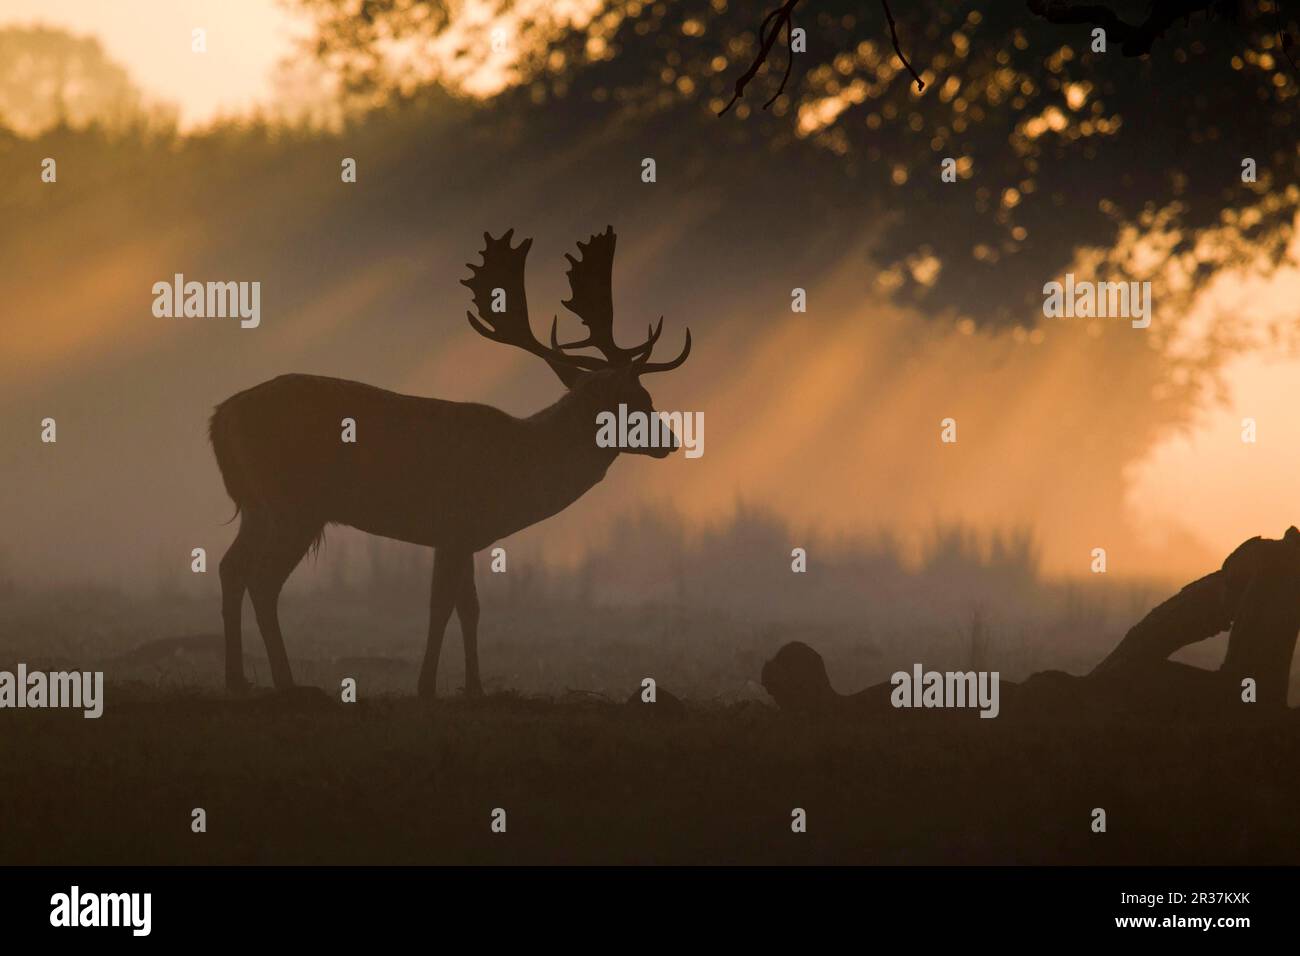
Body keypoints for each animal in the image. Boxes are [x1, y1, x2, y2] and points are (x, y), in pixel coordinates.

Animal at [208, 227, 691, 697]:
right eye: (637, 400)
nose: (669, 441)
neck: (519, 465)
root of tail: (220, 418)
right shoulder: (455, 523)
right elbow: (442, 606)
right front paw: (426, 686)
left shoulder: (461, 536)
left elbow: (468, 607)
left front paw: (473, 686)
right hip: (295, 505)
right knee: (262, 580)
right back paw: (287, 682)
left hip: (258, 507)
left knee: (231, 568)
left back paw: (237, 678)